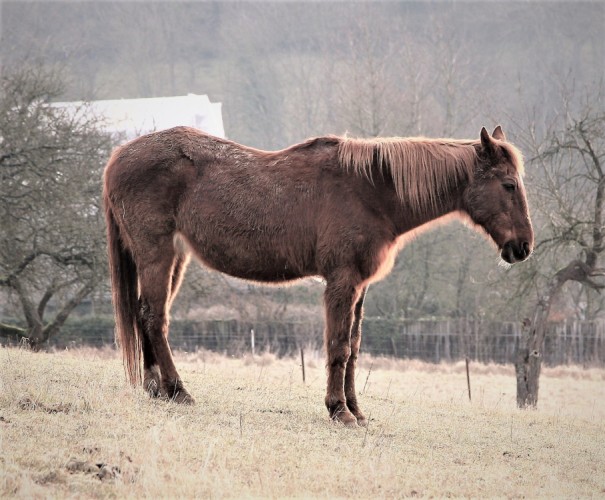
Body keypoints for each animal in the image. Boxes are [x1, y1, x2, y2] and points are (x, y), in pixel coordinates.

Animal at [104, 125, 532, 426]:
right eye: (509, 185)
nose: (523, 247)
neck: (372, 191)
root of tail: (119, 156)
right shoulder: (341, 281)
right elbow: (338, 346)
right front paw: (338, 410)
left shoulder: (360, 287)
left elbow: (354, 348)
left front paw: (356, 410)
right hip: (157, 254)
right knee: (154, 318)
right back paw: (177, 391)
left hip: (174, 258)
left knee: (145, 315)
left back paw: (155, 388)